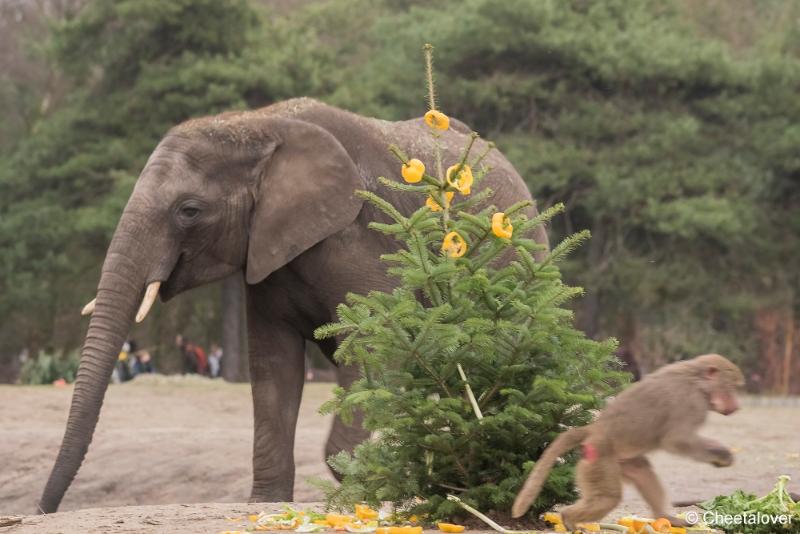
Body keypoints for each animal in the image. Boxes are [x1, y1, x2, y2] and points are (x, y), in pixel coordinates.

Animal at [39, 97, 552, 516]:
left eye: (189, 211)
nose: (44, 510)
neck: (257, 125)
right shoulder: (266, 253)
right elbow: (272, 366)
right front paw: (266, 504)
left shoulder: (359, 239)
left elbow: (372, 348)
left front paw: (361, 485)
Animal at [512, 356, 744, 532]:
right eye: (732, 387)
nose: (737, 406)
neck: (698, 381)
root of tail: (595, 429)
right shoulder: (691, 403)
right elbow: (676, 440)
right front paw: (723, 455)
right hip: (599, 460)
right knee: (609, 497)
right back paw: (569, 518)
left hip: (618, 460)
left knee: (642, 471)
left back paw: (666, 517)